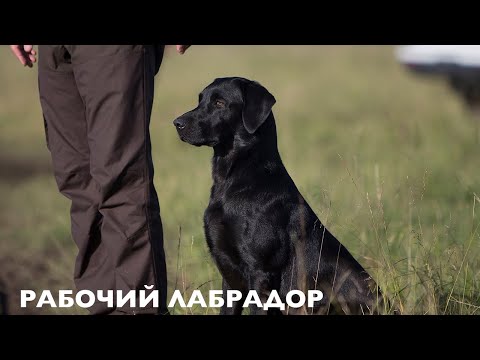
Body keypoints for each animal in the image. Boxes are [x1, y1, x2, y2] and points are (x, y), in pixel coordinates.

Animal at [172, 76, 390, 316]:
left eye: (219, 103)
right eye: (200, 100)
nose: (177, 123)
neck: (234, 180)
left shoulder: (260, 272)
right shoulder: (230, 275)